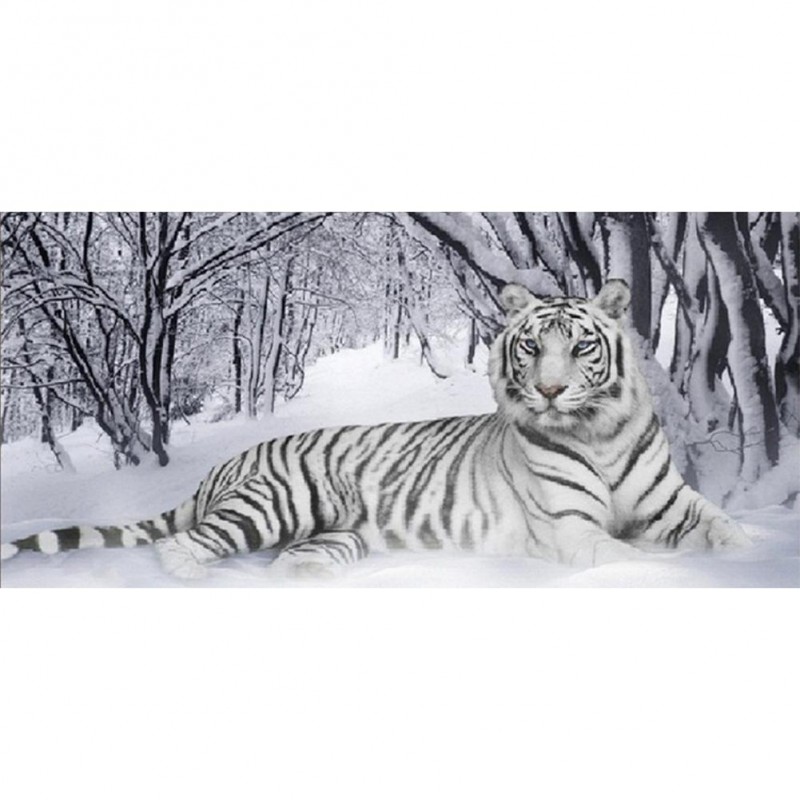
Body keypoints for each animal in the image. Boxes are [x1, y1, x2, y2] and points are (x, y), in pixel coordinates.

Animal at [0, 279, 749, 580]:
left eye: (582, 346)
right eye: (532, 347)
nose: (549, 390)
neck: (599, 431)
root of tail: (226, 463)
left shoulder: (675, 505)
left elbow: (726, 530)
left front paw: (750, 556)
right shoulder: (572, 528)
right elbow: (631, 556)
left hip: (336, 534)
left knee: (288, 562)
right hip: (274, 504)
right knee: (182, 544)